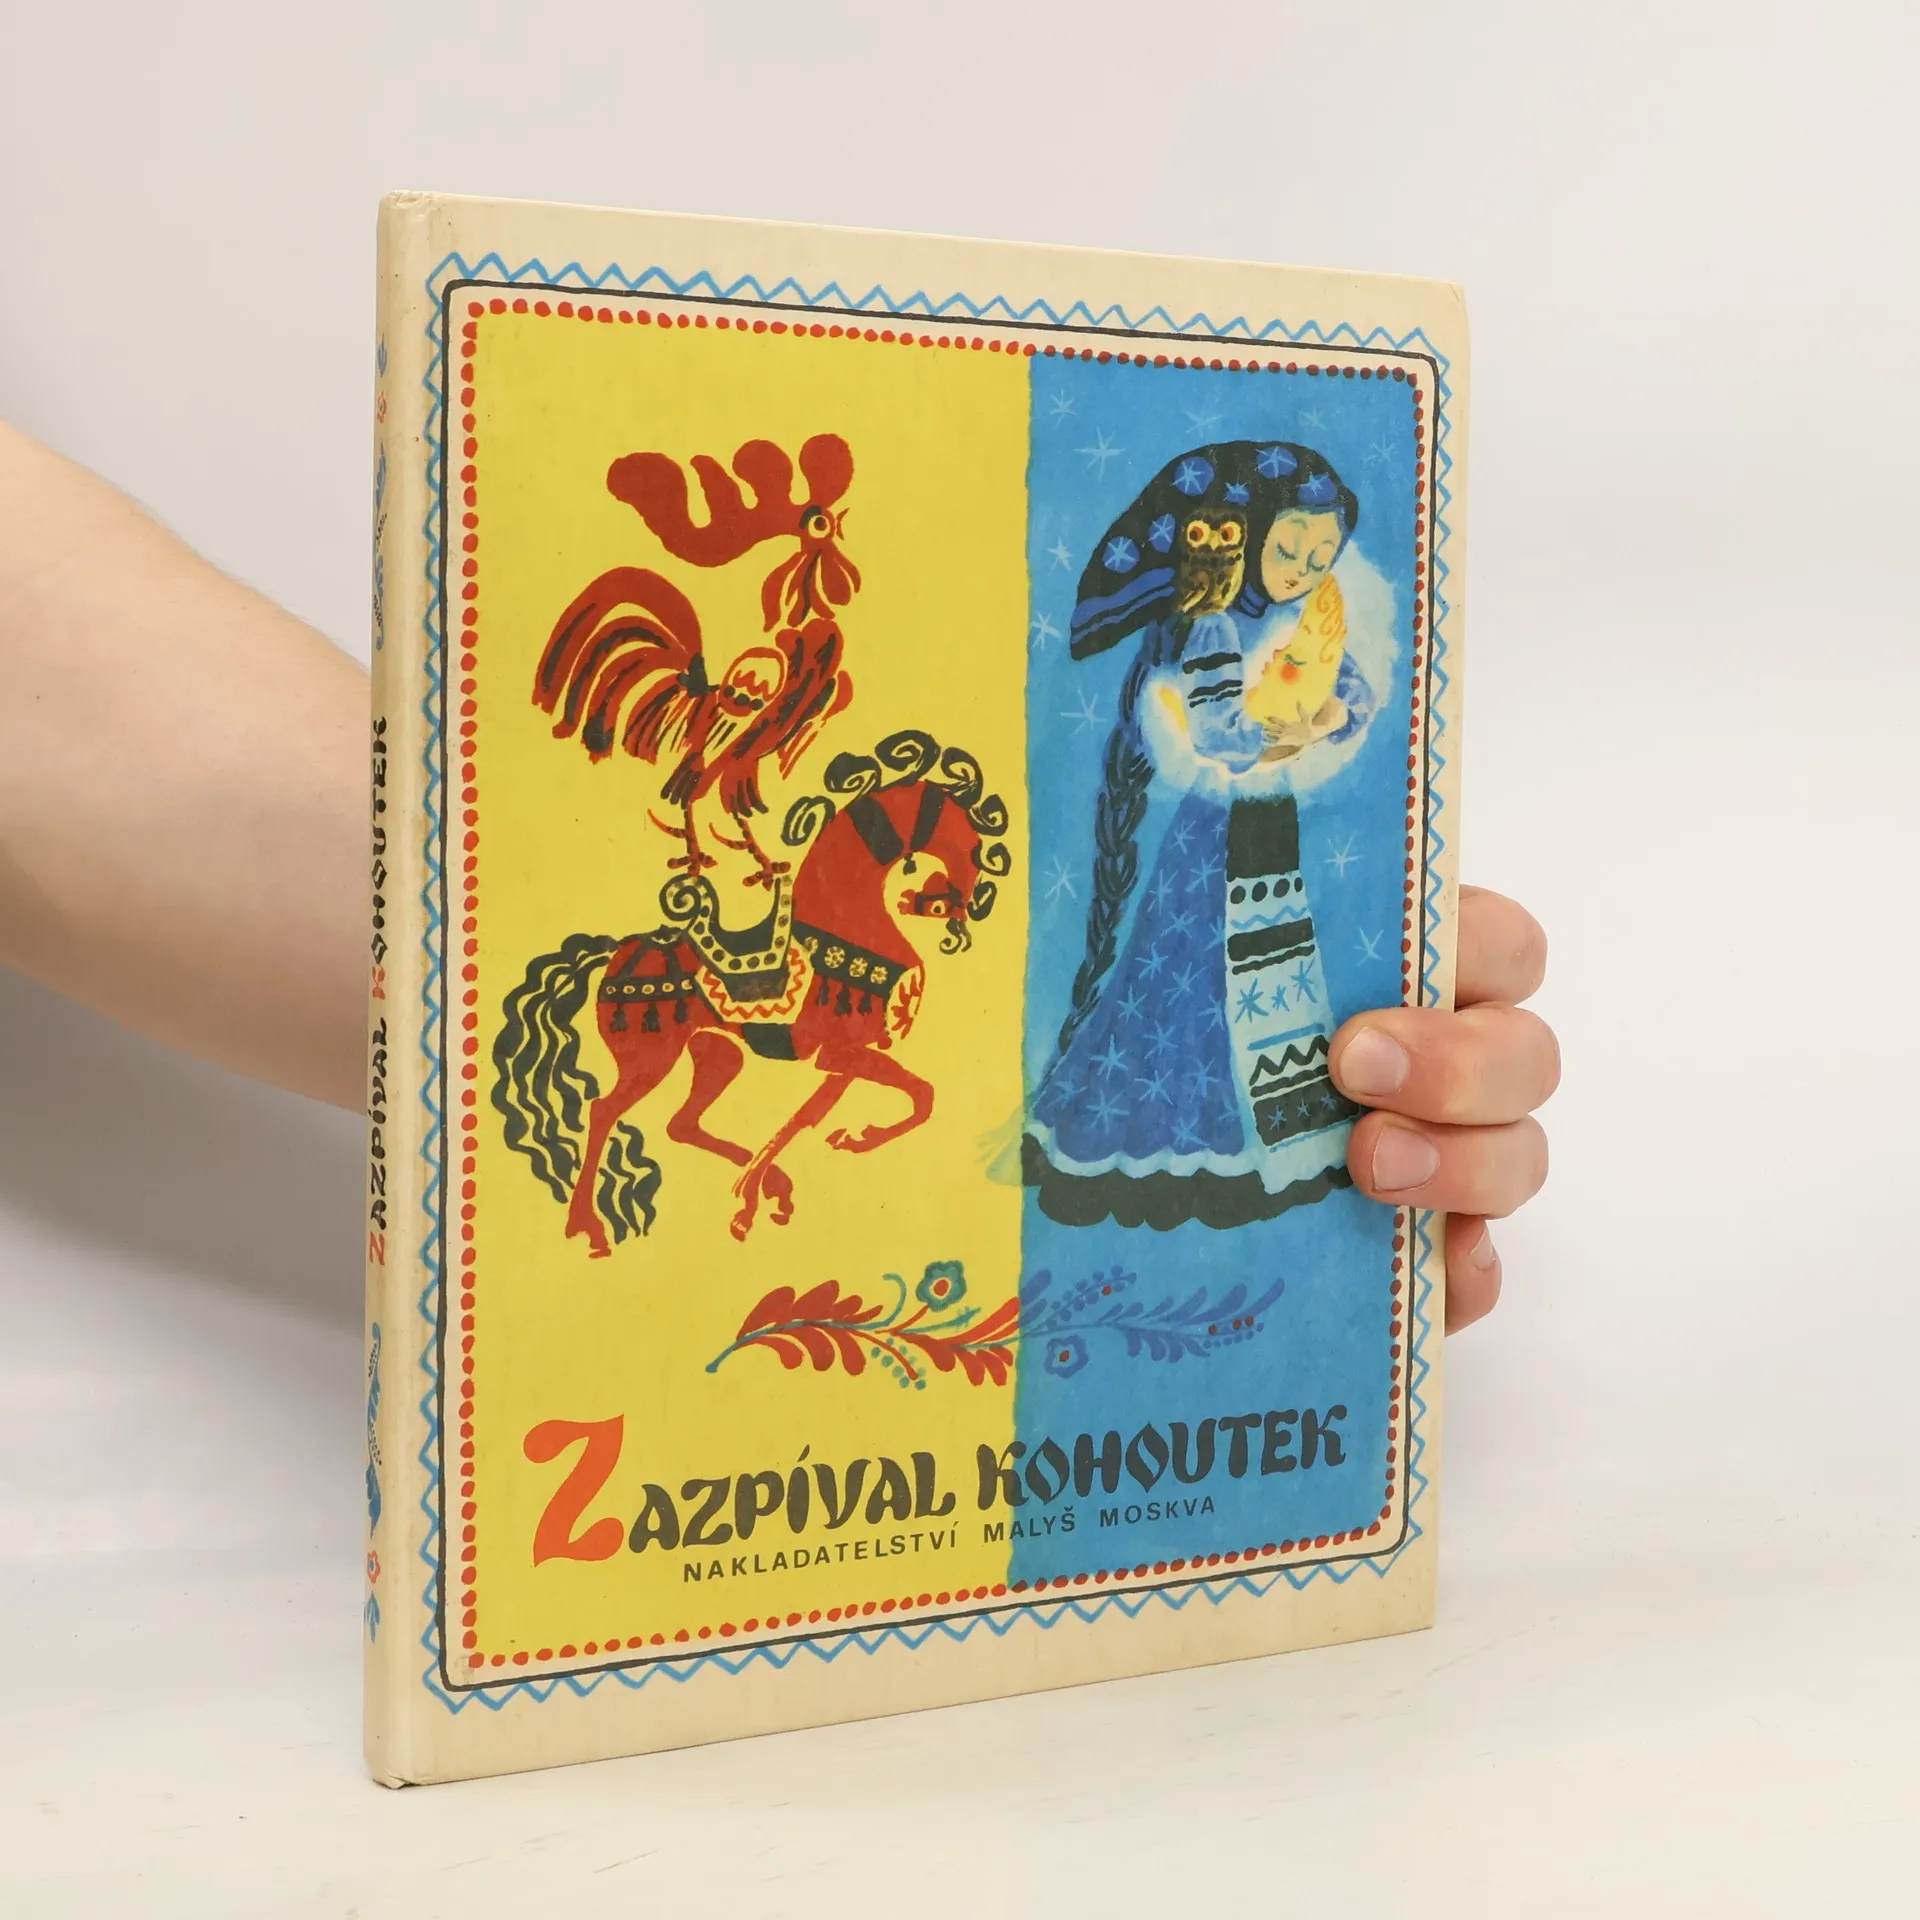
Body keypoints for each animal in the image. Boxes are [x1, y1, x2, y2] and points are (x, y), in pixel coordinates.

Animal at [492, 731, 1009, 1252]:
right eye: (969, 845)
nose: (955, 916)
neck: (846, 919)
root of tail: (617, 953)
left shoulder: (842, 1058)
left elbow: (815, 1115)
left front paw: (798, 1172)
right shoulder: (839, 1052)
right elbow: (918, 1095)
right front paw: (773, 1187)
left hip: (718, 1053)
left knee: (682, 1123)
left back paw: (771, 1183)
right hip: (650, 1057)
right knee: (603, 1112)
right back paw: (587, 1225)